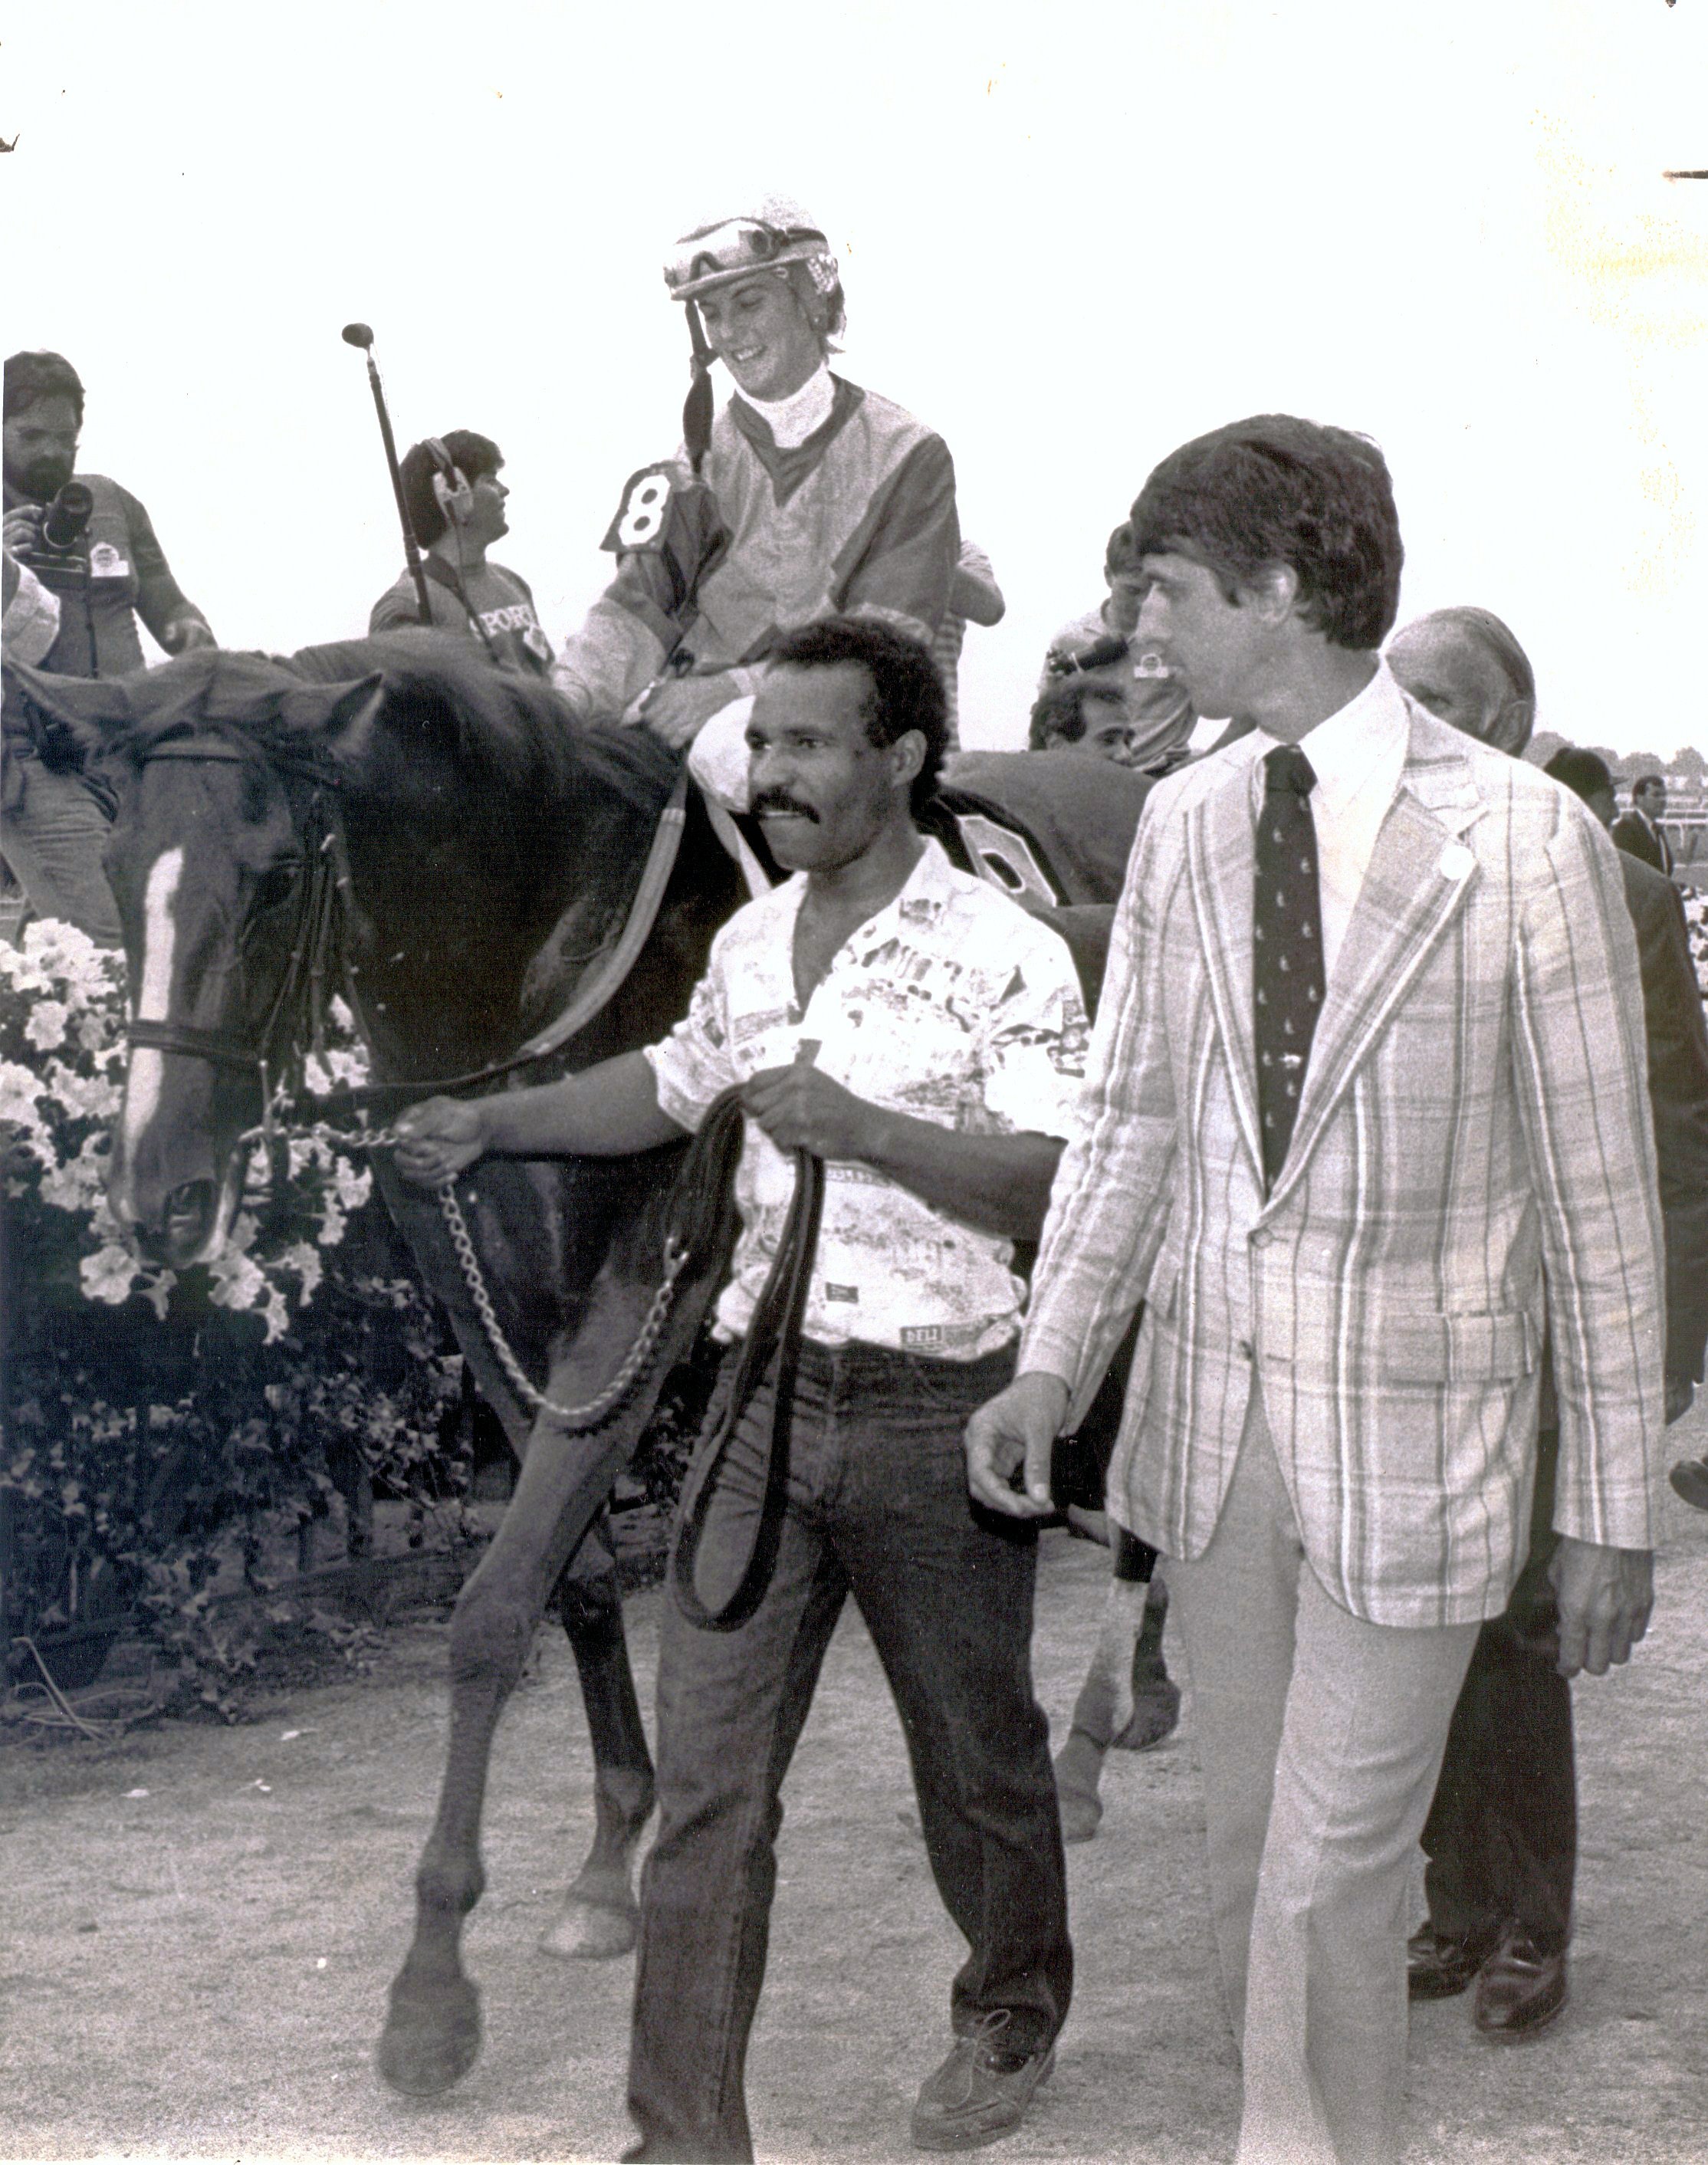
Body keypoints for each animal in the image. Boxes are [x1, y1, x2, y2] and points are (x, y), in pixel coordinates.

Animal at [5, 636, 744, 2095]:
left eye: (280, 877)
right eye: (117, 871)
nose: (160, 1197)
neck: (542, 978)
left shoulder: (644, 1285)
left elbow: (492, 1604)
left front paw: (430, 1986)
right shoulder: (485, 1297)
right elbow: (569, 1574)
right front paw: (605, 1862)